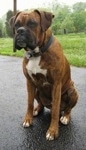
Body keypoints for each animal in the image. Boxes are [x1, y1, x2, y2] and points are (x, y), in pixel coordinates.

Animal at [9, 9, 78, 141]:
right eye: (16, 25)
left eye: (32, 23)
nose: (20, 30)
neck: (37, 52)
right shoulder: (29, 82)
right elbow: (29, 103)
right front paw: (28, 119)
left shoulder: (56, 84)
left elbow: (55, 111)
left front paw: (53, 131)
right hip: (37, 90)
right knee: (40, 103)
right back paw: (37, 110)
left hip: (72, 91)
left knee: (67, 109)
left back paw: (65, 117)